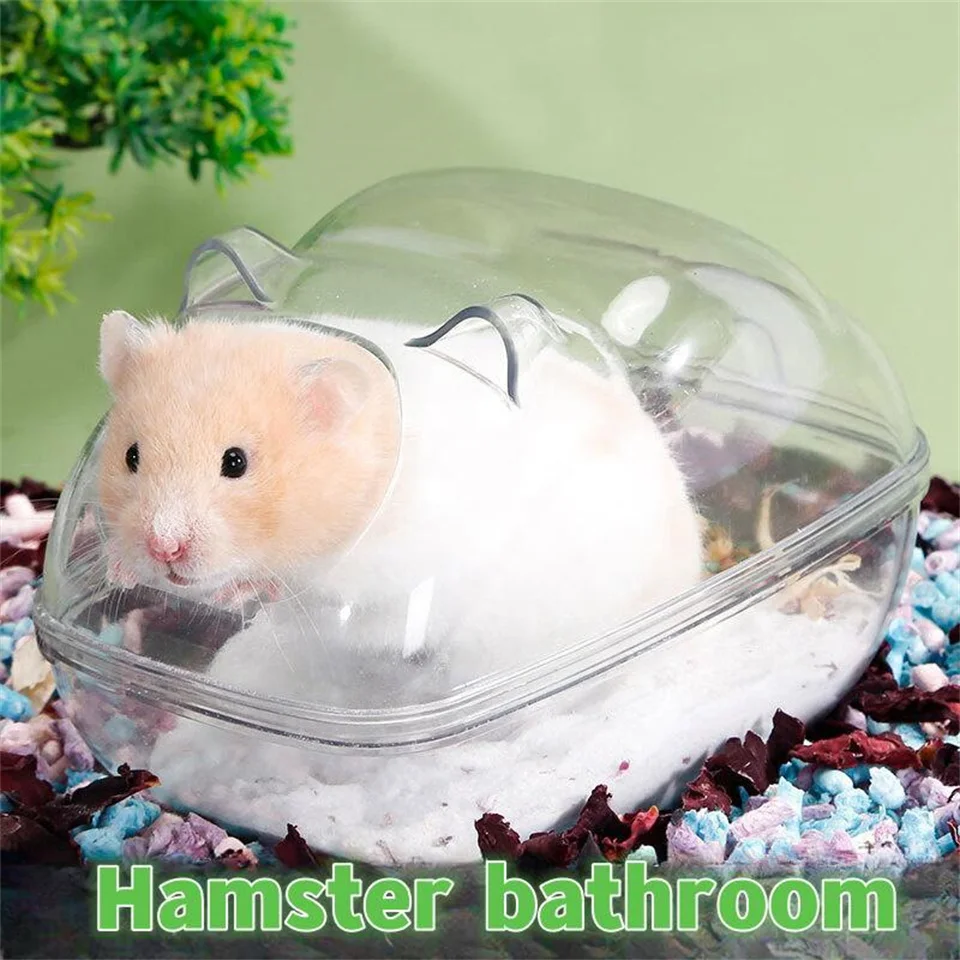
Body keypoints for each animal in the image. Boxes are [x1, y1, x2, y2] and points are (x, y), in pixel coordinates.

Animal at [97, 307, 703, 681]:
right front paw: (120, 571)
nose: (163, 548)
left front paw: (240, 588)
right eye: (131, 456)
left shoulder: (386, 571)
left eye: (235, 463)